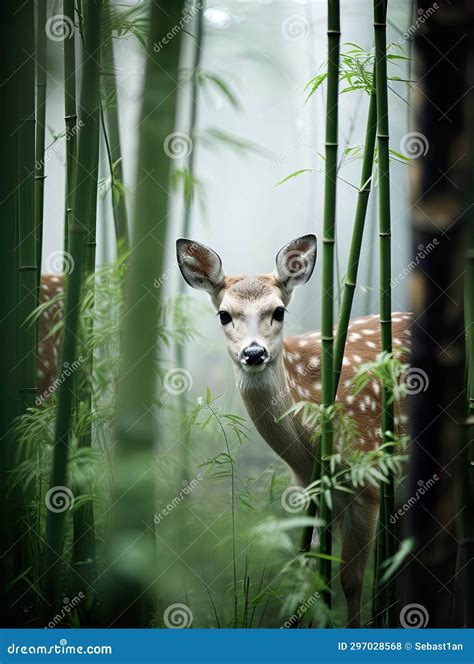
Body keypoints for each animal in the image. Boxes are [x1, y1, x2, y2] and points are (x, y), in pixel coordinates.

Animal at [176, 235, 410, 628]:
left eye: (278, 311)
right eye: (224, 314)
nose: (254, 353)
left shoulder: (369, 477)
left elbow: (351, 579)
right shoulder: (310, 492)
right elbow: (313, 573)